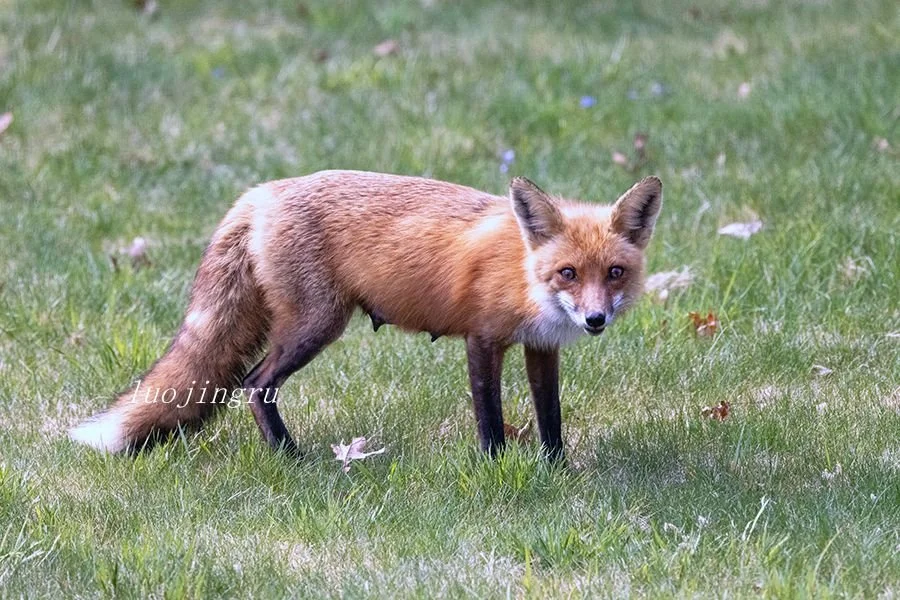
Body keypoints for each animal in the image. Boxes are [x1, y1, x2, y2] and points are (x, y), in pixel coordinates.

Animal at [70, 170, 662, 459]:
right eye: (568, 273)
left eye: (614, 273)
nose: (595, 321)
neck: (523, 273)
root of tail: (261, 192)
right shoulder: (482, 339)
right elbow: (490, 420)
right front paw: (496, 468)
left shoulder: (541, 347)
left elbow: (550, 417)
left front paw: (556, 469)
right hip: (315, 326)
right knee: (255, 384)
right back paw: (291, 458)